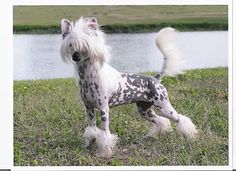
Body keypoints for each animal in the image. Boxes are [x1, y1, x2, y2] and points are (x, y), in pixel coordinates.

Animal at [60, 16, 198, 157]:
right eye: (71, 44)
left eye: (85, 45)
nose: (75, 56)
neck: (88, 78)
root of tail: (155, 78)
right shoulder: (89, 109)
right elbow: (91, 129)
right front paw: (88, 144)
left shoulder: (104, 109)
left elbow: (105, 133)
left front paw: (104, 152)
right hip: (144, 110)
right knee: (161, 121)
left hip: (164, 107)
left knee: (180, 119)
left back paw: (191, 135)